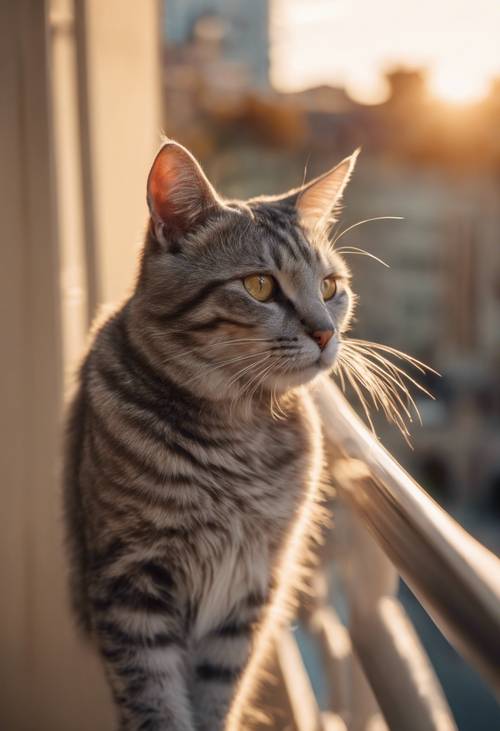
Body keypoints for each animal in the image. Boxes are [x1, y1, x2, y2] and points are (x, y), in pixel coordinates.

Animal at [64, 139, 358, 731]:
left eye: (329, 287)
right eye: (260, 285)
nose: (325, 331)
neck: (237, 434)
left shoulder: (251, 589)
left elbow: (220, 690)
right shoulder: (130, 583)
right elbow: (156, 700)